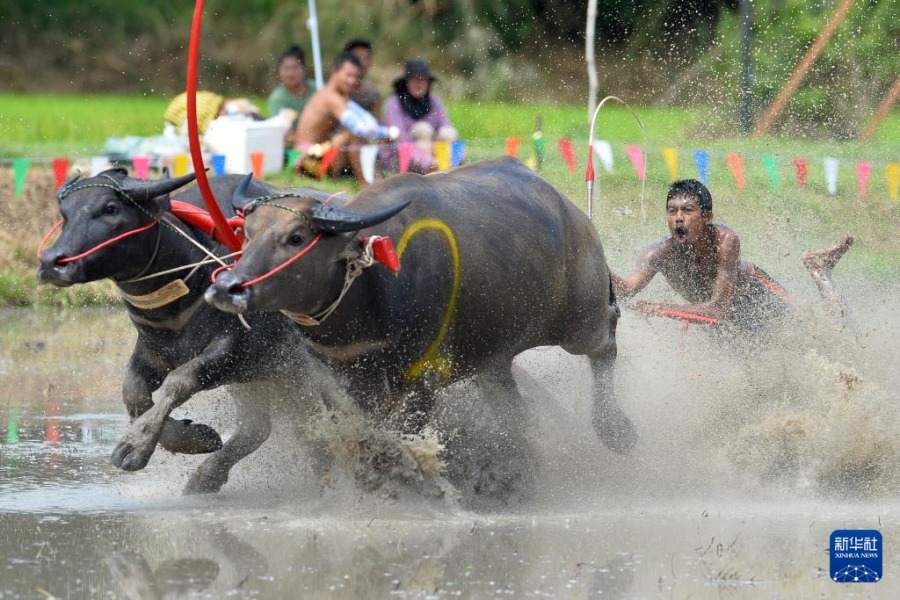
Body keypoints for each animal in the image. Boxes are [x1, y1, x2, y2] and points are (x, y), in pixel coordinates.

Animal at [35, 168, 338, 492]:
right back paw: (206, 478)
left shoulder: (233, 353)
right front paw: (195, 439)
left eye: (110, 208)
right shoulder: (153, 351)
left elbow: (178, 382)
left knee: (314, 425)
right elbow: (134, 392)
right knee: (260, 428)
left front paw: (134, 447)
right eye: (65, 213)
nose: (52, 263)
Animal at [207, 158, 636, 496]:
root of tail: (570, 210)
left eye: (296, 237)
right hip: (493, 357)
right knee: (511, 407)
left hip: (579, 320)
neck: (369, 287)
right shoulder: (341, 378)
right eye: (245, 234)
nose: (227, 287)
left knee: (607, 338)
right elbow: (365, 434)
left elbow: (399, 435)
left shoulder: (423, 379)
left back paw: (617, 430)